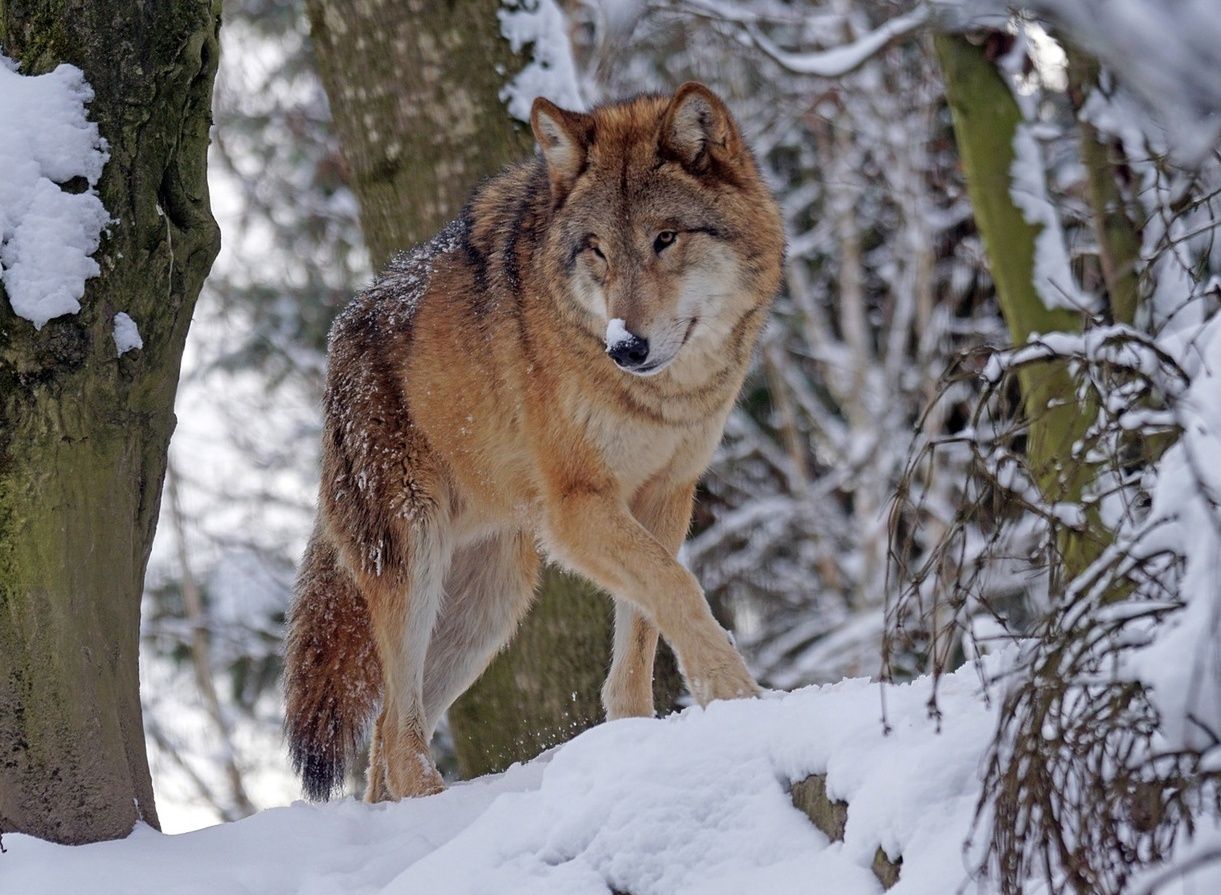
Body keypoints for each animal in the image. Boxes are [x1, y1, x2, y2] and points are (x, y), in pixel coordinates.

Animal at [284, 80, 781, 800]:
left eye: (665, 238)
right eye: (596, 247)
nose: (626, 347)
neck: (661, 398)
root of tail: (338, 337)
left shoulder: (666, 496)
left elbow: (643, 628)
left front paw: (638, 737)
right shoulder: (576, 508)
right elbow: (679, 588)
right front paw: (737, 695)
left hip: (489, 605)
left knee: (384, 739)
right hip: (416, 561)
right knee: (397, 734)